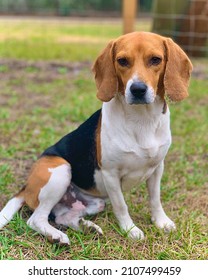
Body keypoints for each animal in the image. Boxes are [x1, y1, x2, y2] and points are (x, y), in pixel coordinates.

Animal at [0, 31, 193, 244]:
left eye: (155, 59)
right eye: (122, 61)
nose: (137, 89)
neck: (142, 119)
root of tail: (26, 187)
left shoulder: (158, 168)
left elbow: (155, 199)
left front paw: (161, 222)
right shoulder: (110, 174)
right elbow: (121, 206)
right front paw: (130, 230)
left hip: (94, 202)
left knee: (62, 217)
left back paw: (86, 227)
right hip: (60, 170)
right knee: (36, 219)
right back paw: (57, 236)